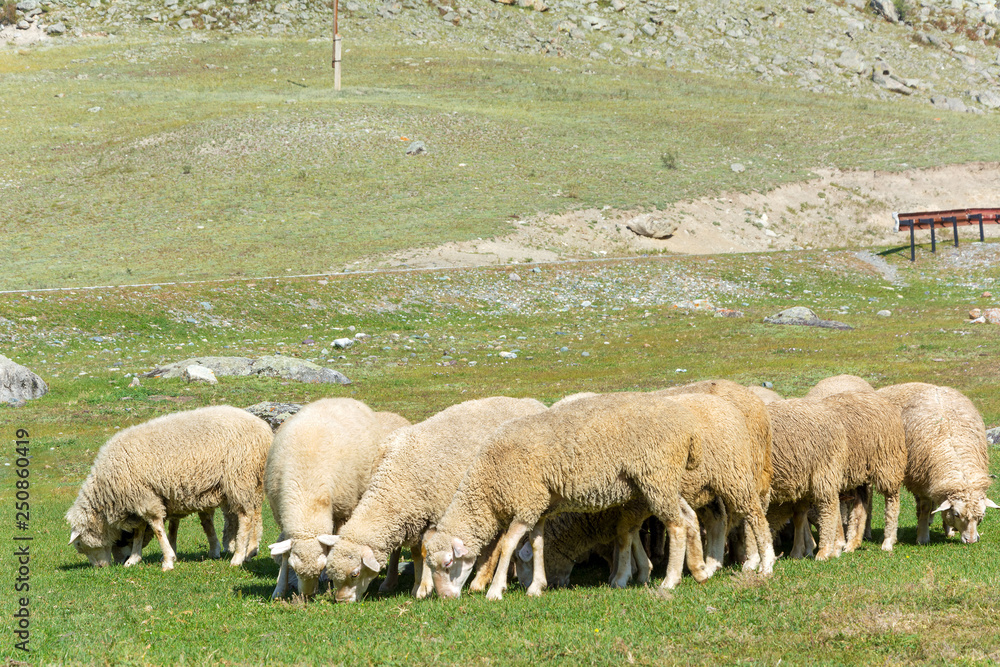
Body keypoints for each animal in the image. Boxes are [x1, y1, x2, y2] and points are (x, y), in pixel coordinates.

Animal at [66, 406, 273, 570]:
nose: (101, 568)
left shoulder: (144, 496)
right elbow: (146, 529)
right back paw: (250, 551)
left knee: (246, 516)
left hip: (239, 477)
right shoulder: (146, 497)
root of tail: (264, 429)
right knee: (255, 514)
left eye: (81, 545)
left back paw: (237, 557)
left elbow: (157, 528)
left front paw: (167, 560)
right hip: (252, 481)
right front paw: (135, 558)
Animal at [265, 399, 410, 598]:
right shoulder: (281, 516)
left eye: (322, 566)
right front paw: (279, 589)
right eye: (294, 569)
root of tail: (342, 399)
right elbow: (285, 554)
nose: (307, 595)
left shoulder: (344, 510)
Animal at [324, 396, 547, 603]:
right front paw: (405, 583)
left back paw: (481, 580)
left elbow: (424, 551)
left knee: (498, 541)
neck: (395, 480)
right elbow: (410, 552)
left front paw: (423, 587)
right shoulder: (412, 518)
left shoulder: (434, 514)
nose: (341, 601)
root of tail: (533, 402)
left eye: (355, 573)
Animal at [424, 392, 703, 600]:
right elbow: (537, 543)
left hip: (657, 475)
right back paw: (700, 569)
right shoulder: (539, 508)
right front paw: (536, 586)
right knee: (688, 517)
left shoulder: (526, 503)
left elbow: (507, 545)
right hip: (658, 484)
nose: (445, 598)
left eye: (447, 564)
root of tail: (689, 428)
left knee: (676, 526)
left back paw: (670, 580)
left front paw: (495, 590)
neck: (488, 486)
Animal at [876, 382, 999, 544]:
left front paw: (948, 530)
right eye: (957, 514)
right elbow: (925, 507)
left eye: (982, 515)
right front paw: (922, 536)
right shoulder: (920, 481)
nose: (971, 540)